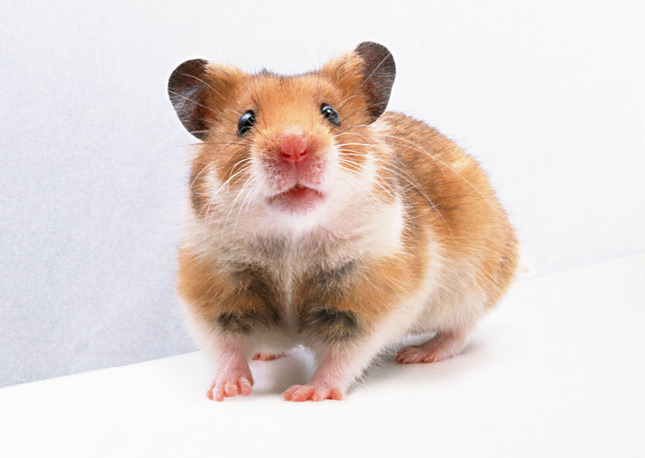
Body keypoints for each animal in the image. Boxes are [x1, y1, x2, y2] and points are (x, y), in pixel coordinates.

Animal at [168, 42, 518, 402]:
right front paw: (225, 391)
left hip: (471, 285)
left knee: (461, 329)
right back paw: (266, 353)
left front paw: (305, 394)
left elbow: (342, 356)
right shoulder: (216, 288)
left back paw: (418, 354)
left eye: (331, 113)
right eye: (244, 121)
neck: (292, 238)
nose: (294, 147)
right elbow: (226, 348)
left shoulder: (365, 296)